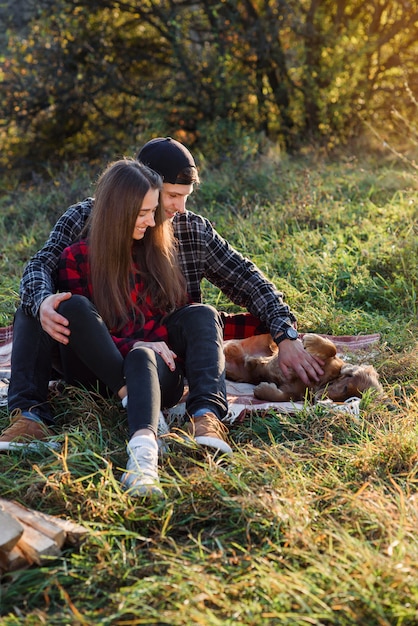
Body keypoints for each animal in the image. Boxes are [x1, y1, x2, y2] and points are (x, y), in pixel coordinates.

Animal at [224, 332, 384, 400]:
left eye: (344, 400)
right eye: (345, 388)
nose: (317, 400)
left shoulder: (294, 391)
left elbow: (285, 396)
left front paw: (263, 390)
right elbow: (332, 349)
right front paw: (311, 340)